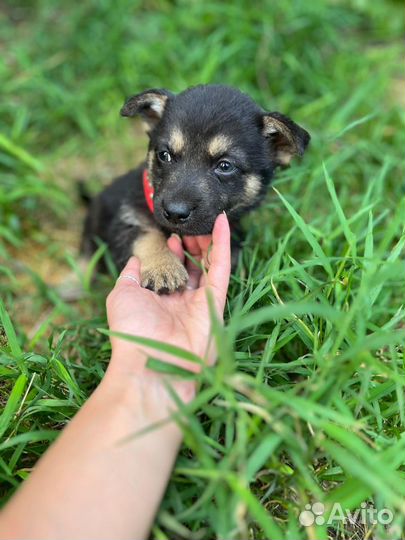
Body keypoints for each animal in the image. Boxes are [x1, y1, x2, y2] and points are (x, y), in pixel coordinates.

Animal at [82, 84, 310, 294]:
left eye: (225, 166)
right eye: (164, 155)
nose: (174, 213)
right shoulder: (126, 221)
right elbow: (147, 236)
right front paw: (163, 267)